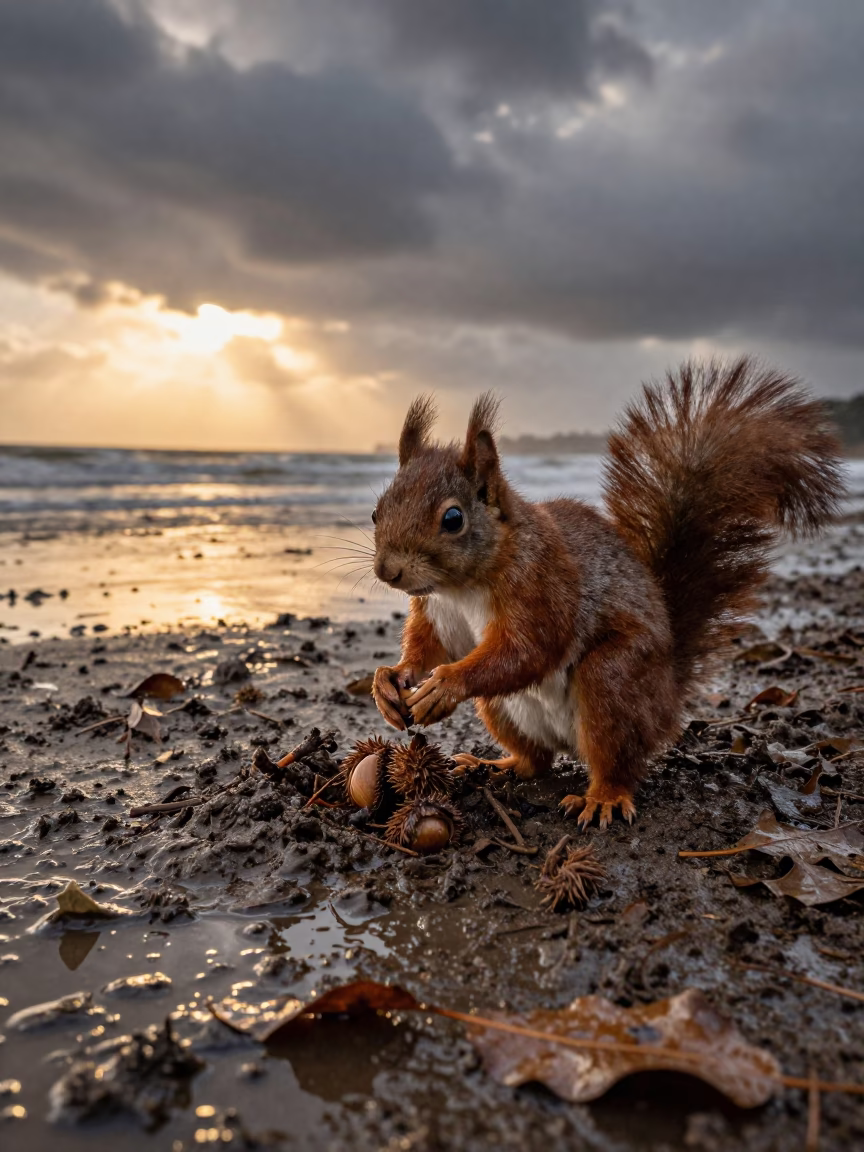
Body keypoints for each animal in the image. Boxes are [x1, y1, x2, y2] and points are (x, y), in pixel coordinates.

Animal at [370, 357, 844, 827]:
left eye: (453, 519)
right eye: (376, 511)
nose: (387, 571)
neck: (460, 588)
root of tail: (668, 699)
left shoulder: (542, 585)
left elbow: (530, 649)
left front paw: (446, 684)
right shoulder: (438, 611)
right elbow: (434, 647)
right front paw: (391, 679)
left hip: (614, 680)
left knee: (615, 759)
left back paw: (604, 798)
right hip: (501, 709)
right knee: (536, 760)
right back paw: (496, 765)